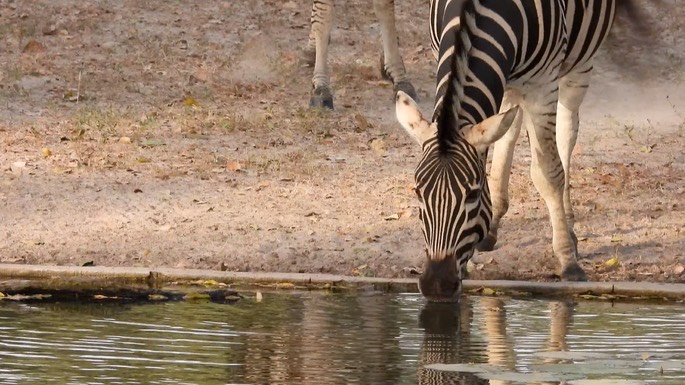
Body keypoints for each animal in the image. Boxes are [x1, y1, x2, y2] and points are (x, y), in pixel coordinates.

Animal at [396, 0, 636, 300]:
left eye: (473, 195)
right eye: (418, 192)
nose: (436, 286)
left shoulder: (543, 84)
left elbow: (547, 172)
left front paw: (567, 262)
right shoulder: (442, 53)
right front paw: (471, 258)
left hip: (579, 63)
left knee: (567, 132)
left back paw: (569, 229)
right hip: (511, 80)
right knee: (508, 130)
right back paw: (493, 227)